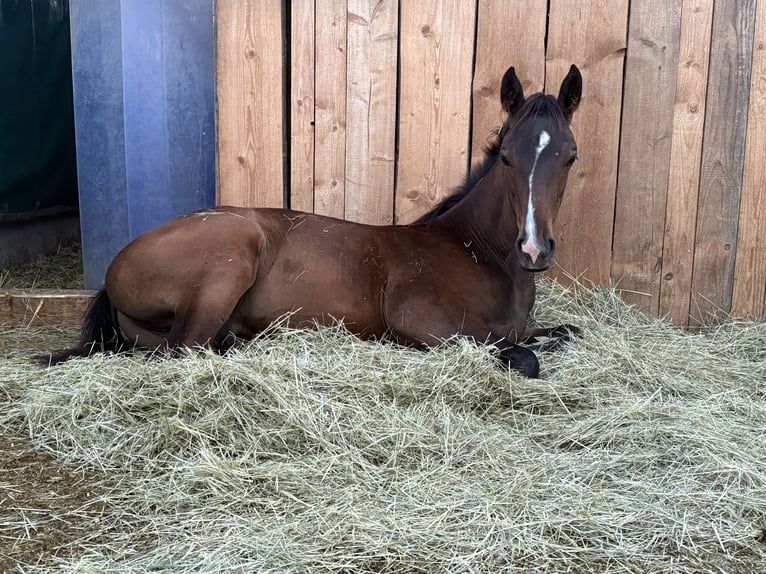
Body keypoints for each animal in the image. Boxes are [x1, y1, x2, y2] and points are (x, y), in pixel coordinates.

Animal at [46, 64, 582, 378]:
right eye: (507, 158)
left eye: (570, 157)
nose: (534, 250)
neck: (474, 252)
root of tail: (115, 271)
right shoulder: (423, 321)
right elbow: (523, 358)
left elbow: (564, 334)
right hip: (228, 262)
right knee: (183, 350)